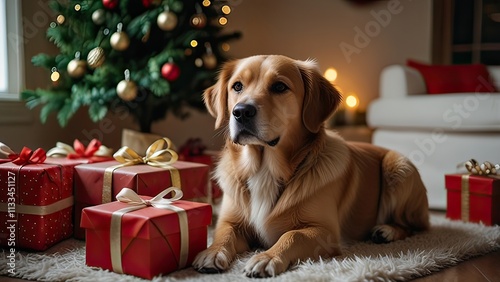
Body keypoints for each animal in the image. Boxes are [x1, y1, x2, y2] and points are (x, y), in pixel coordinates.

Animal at [191, 55, 430, 278]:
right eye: (237, 86)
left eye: (279, 87)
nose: (241, 112)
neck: (264, 168)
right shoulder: (231, 221)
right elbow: (223, 234)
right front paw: (212, 252)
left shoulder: (326, 232)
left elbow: (292, 235)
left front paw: (267, 257)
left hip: (399, 167)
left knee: (414, 226)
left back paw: (386, 231)